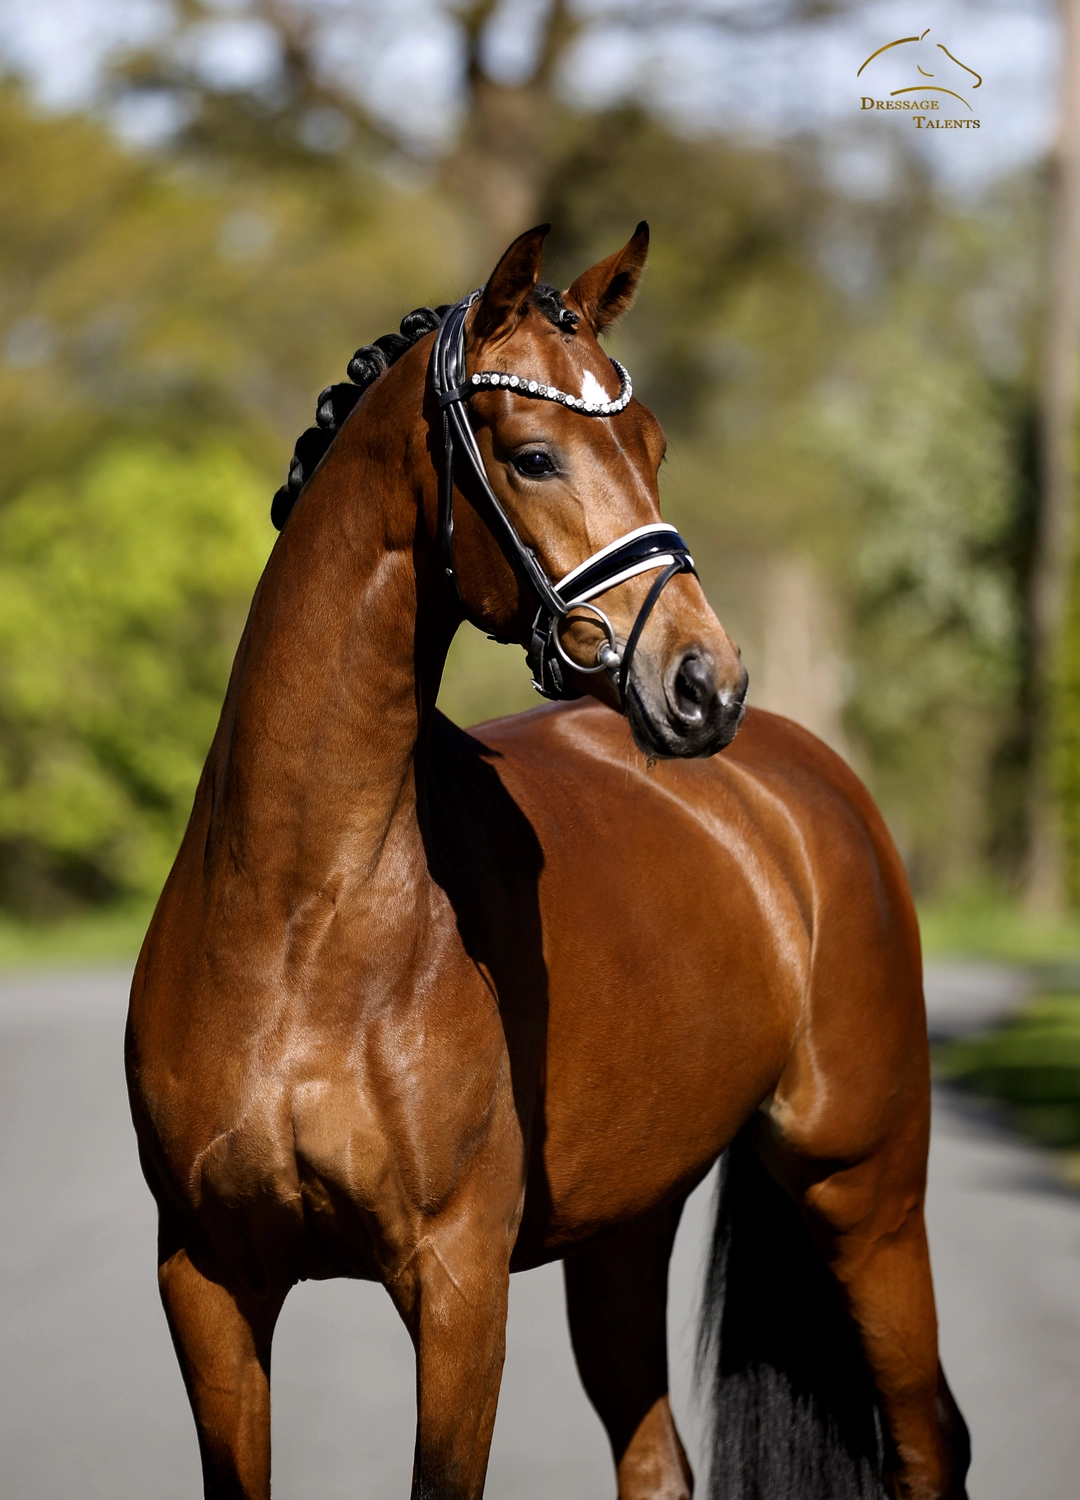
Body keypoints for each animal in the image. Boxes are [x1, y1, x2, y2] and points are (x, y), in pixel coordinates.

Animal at [126, 222, 971, 1500]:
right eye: (532, 457)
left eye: (654, 446)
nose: (704, 682)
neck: (300, 917)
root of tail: (806, 786)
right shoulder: (208, 1281)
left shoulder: (457, 1285)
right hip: (626, 1229)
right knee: (657, 1459)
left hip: (866, 1194)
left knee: (927, 1442)